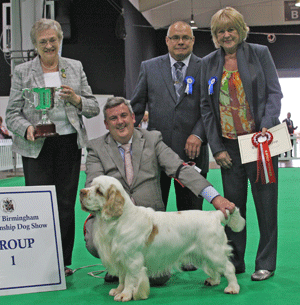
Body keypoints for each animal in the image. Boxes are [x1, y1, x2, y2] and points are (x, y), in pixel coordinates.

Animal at [80, 175, 246, 300]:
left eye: (99, 191)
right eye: (90, 185)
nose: (81, 192)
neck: (120, 219)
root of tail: (214, 214)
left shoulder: (132, 259)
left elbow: (129, 279)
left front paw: (125, 295)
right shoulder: (120, 257)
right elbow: (121, 277)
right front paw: (118, 290)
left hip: (213, 251)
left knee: (228, 267)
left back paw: (232, 287)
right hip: (205, 253)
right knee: (214, 268)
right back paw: (214, 281)